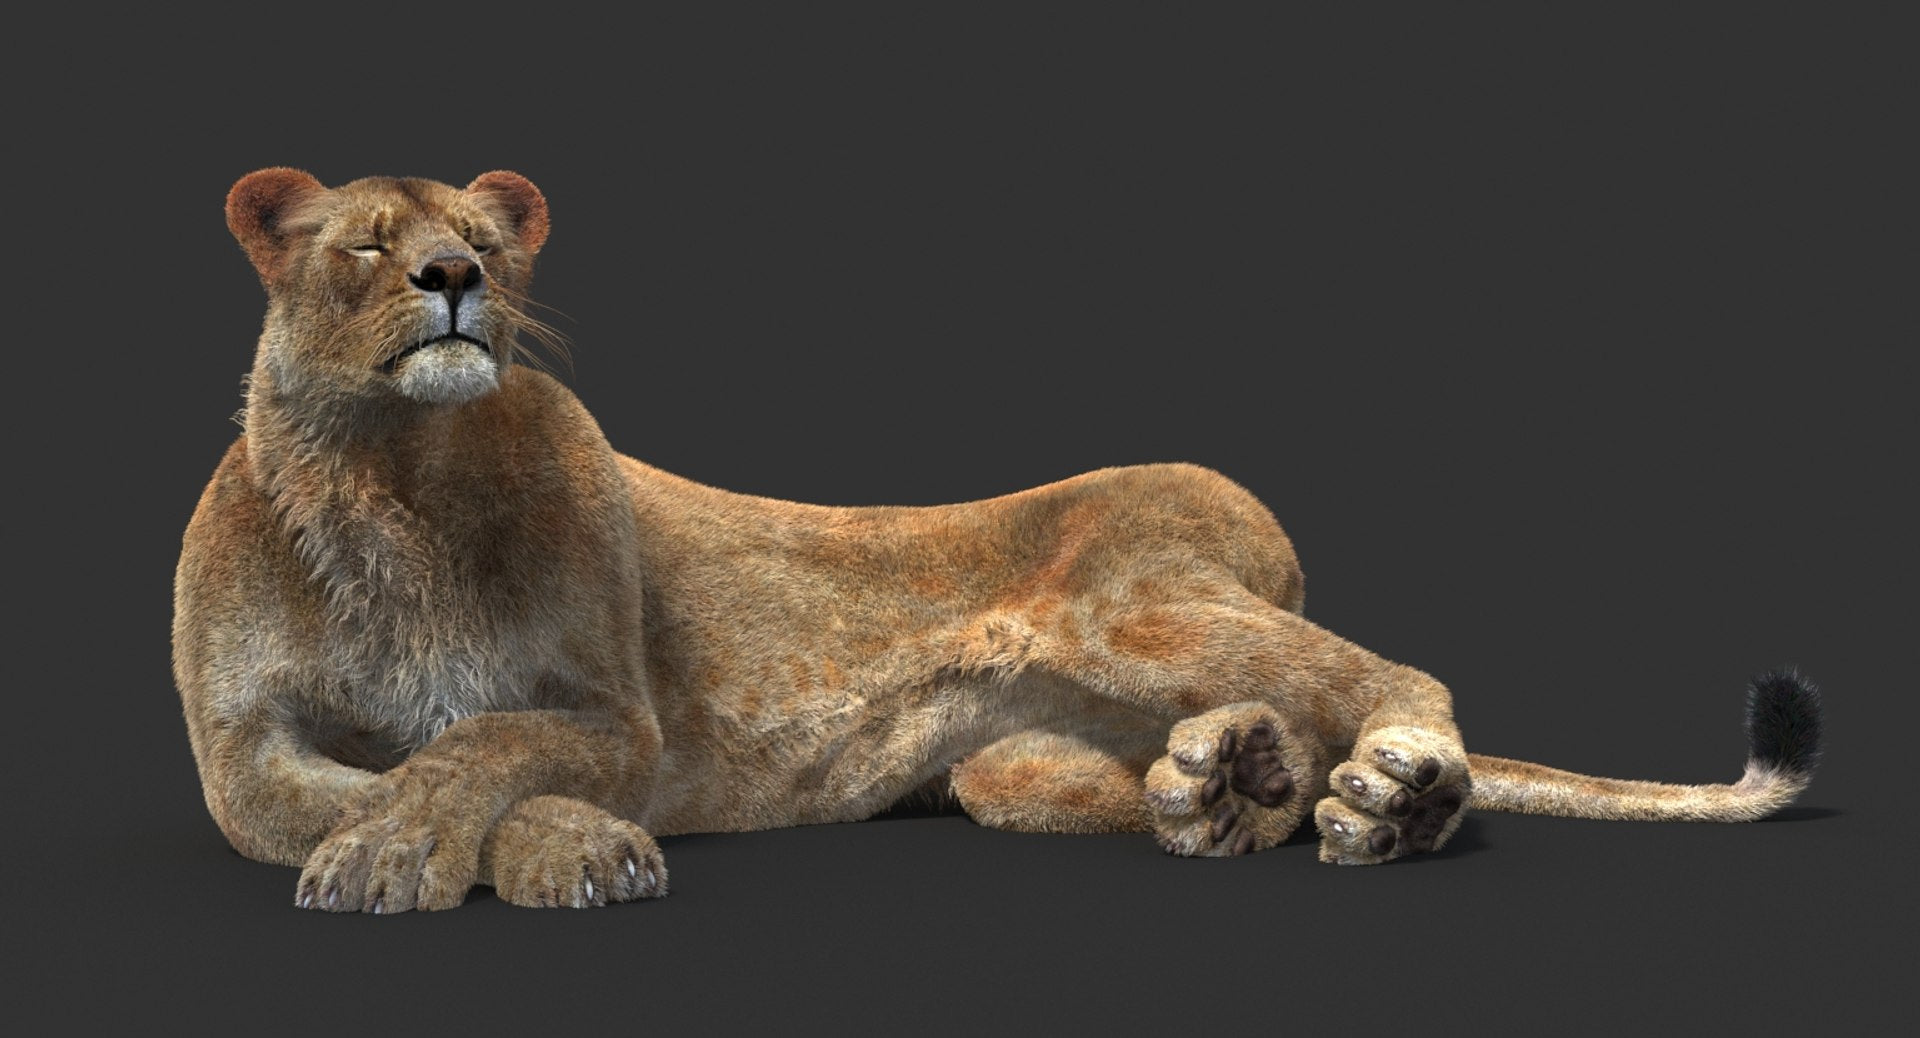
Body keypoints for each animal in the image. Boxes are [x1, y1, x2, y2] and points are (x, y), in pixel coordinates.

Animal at [173, 168, 1824, 912]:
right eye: (367, 243)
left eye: (485, 243)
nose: (453, 276)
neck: (395, 488)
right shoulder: (237, 750)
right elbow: (325, 794)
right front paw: (481, 846)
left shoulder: (613, 710)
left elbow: (484, 743)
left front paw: (502, 841)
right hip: (1009, 757)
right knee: (1218, 746)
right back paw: (1235, 783)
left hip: (1134, 597)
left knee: (1398, 675)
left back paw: (1396, 792)